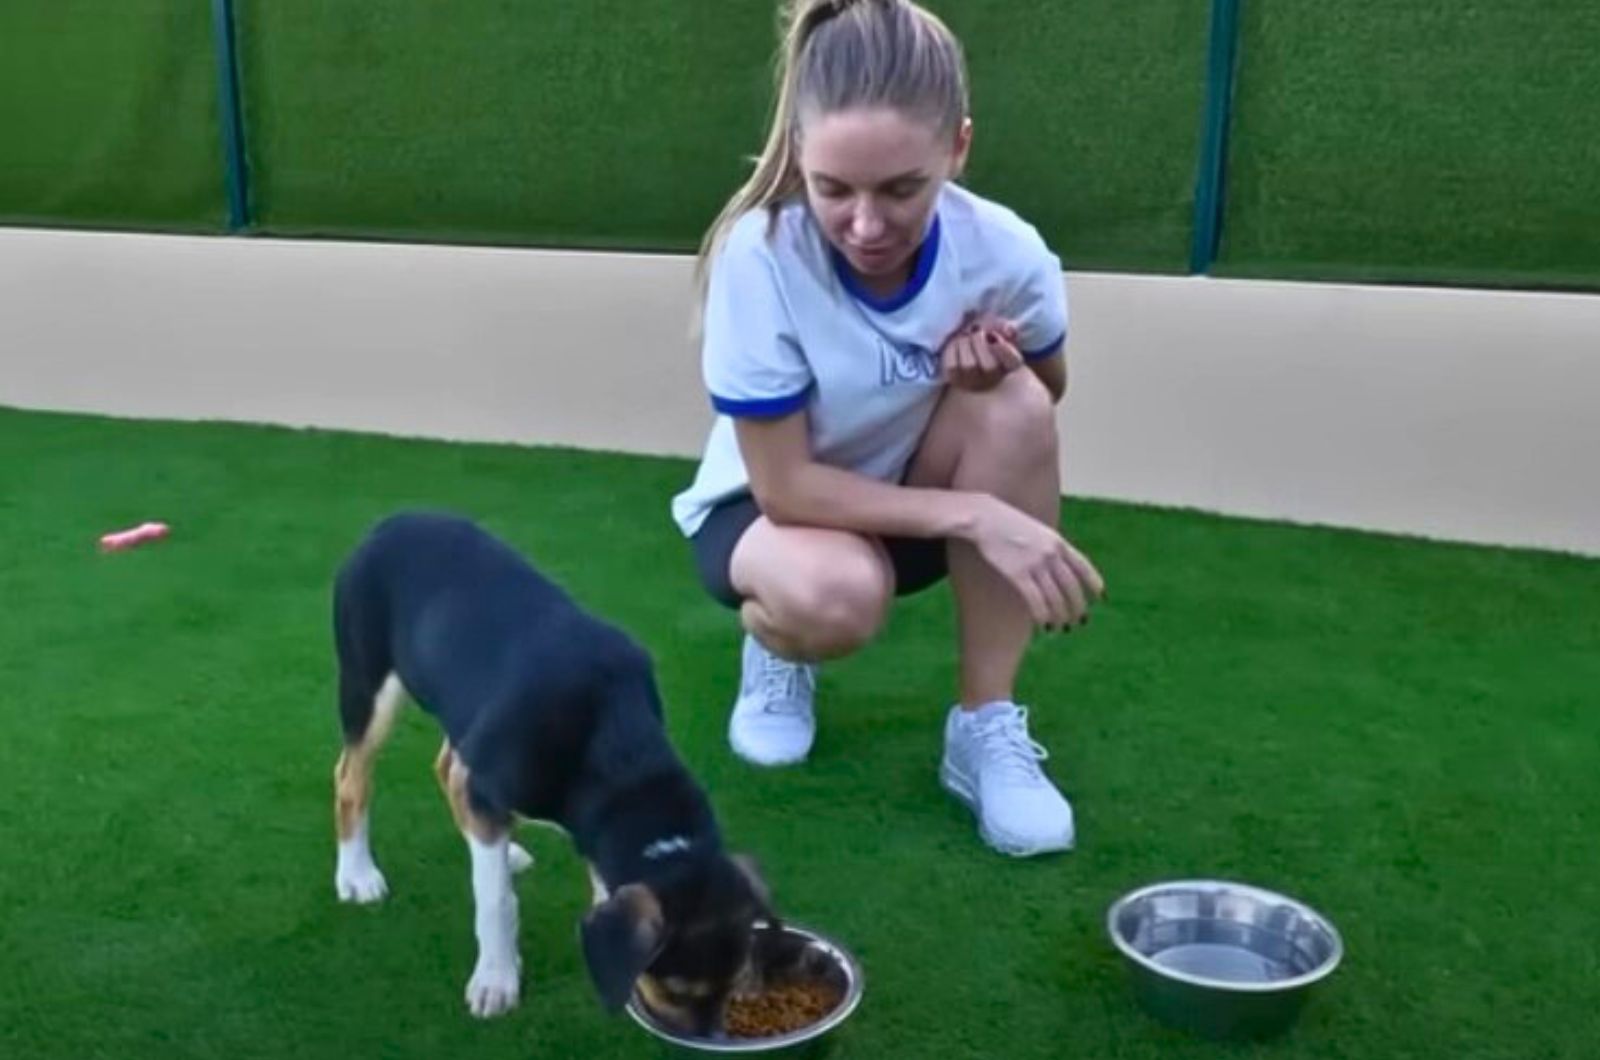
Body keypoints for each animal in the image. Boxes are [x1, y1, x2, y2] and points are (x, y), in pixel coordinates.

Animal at [331, 512, 774, 1031]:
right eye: (677, 990)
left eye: (736, 983)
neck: (616, 745)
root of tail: (390, 522)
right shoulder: (491, 787)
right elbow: (496, 901)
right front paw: (497, 979)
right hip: (369, 686)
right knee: (351, 778)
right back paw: (358, 875)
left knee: (449, 771)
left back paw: (506, 849)